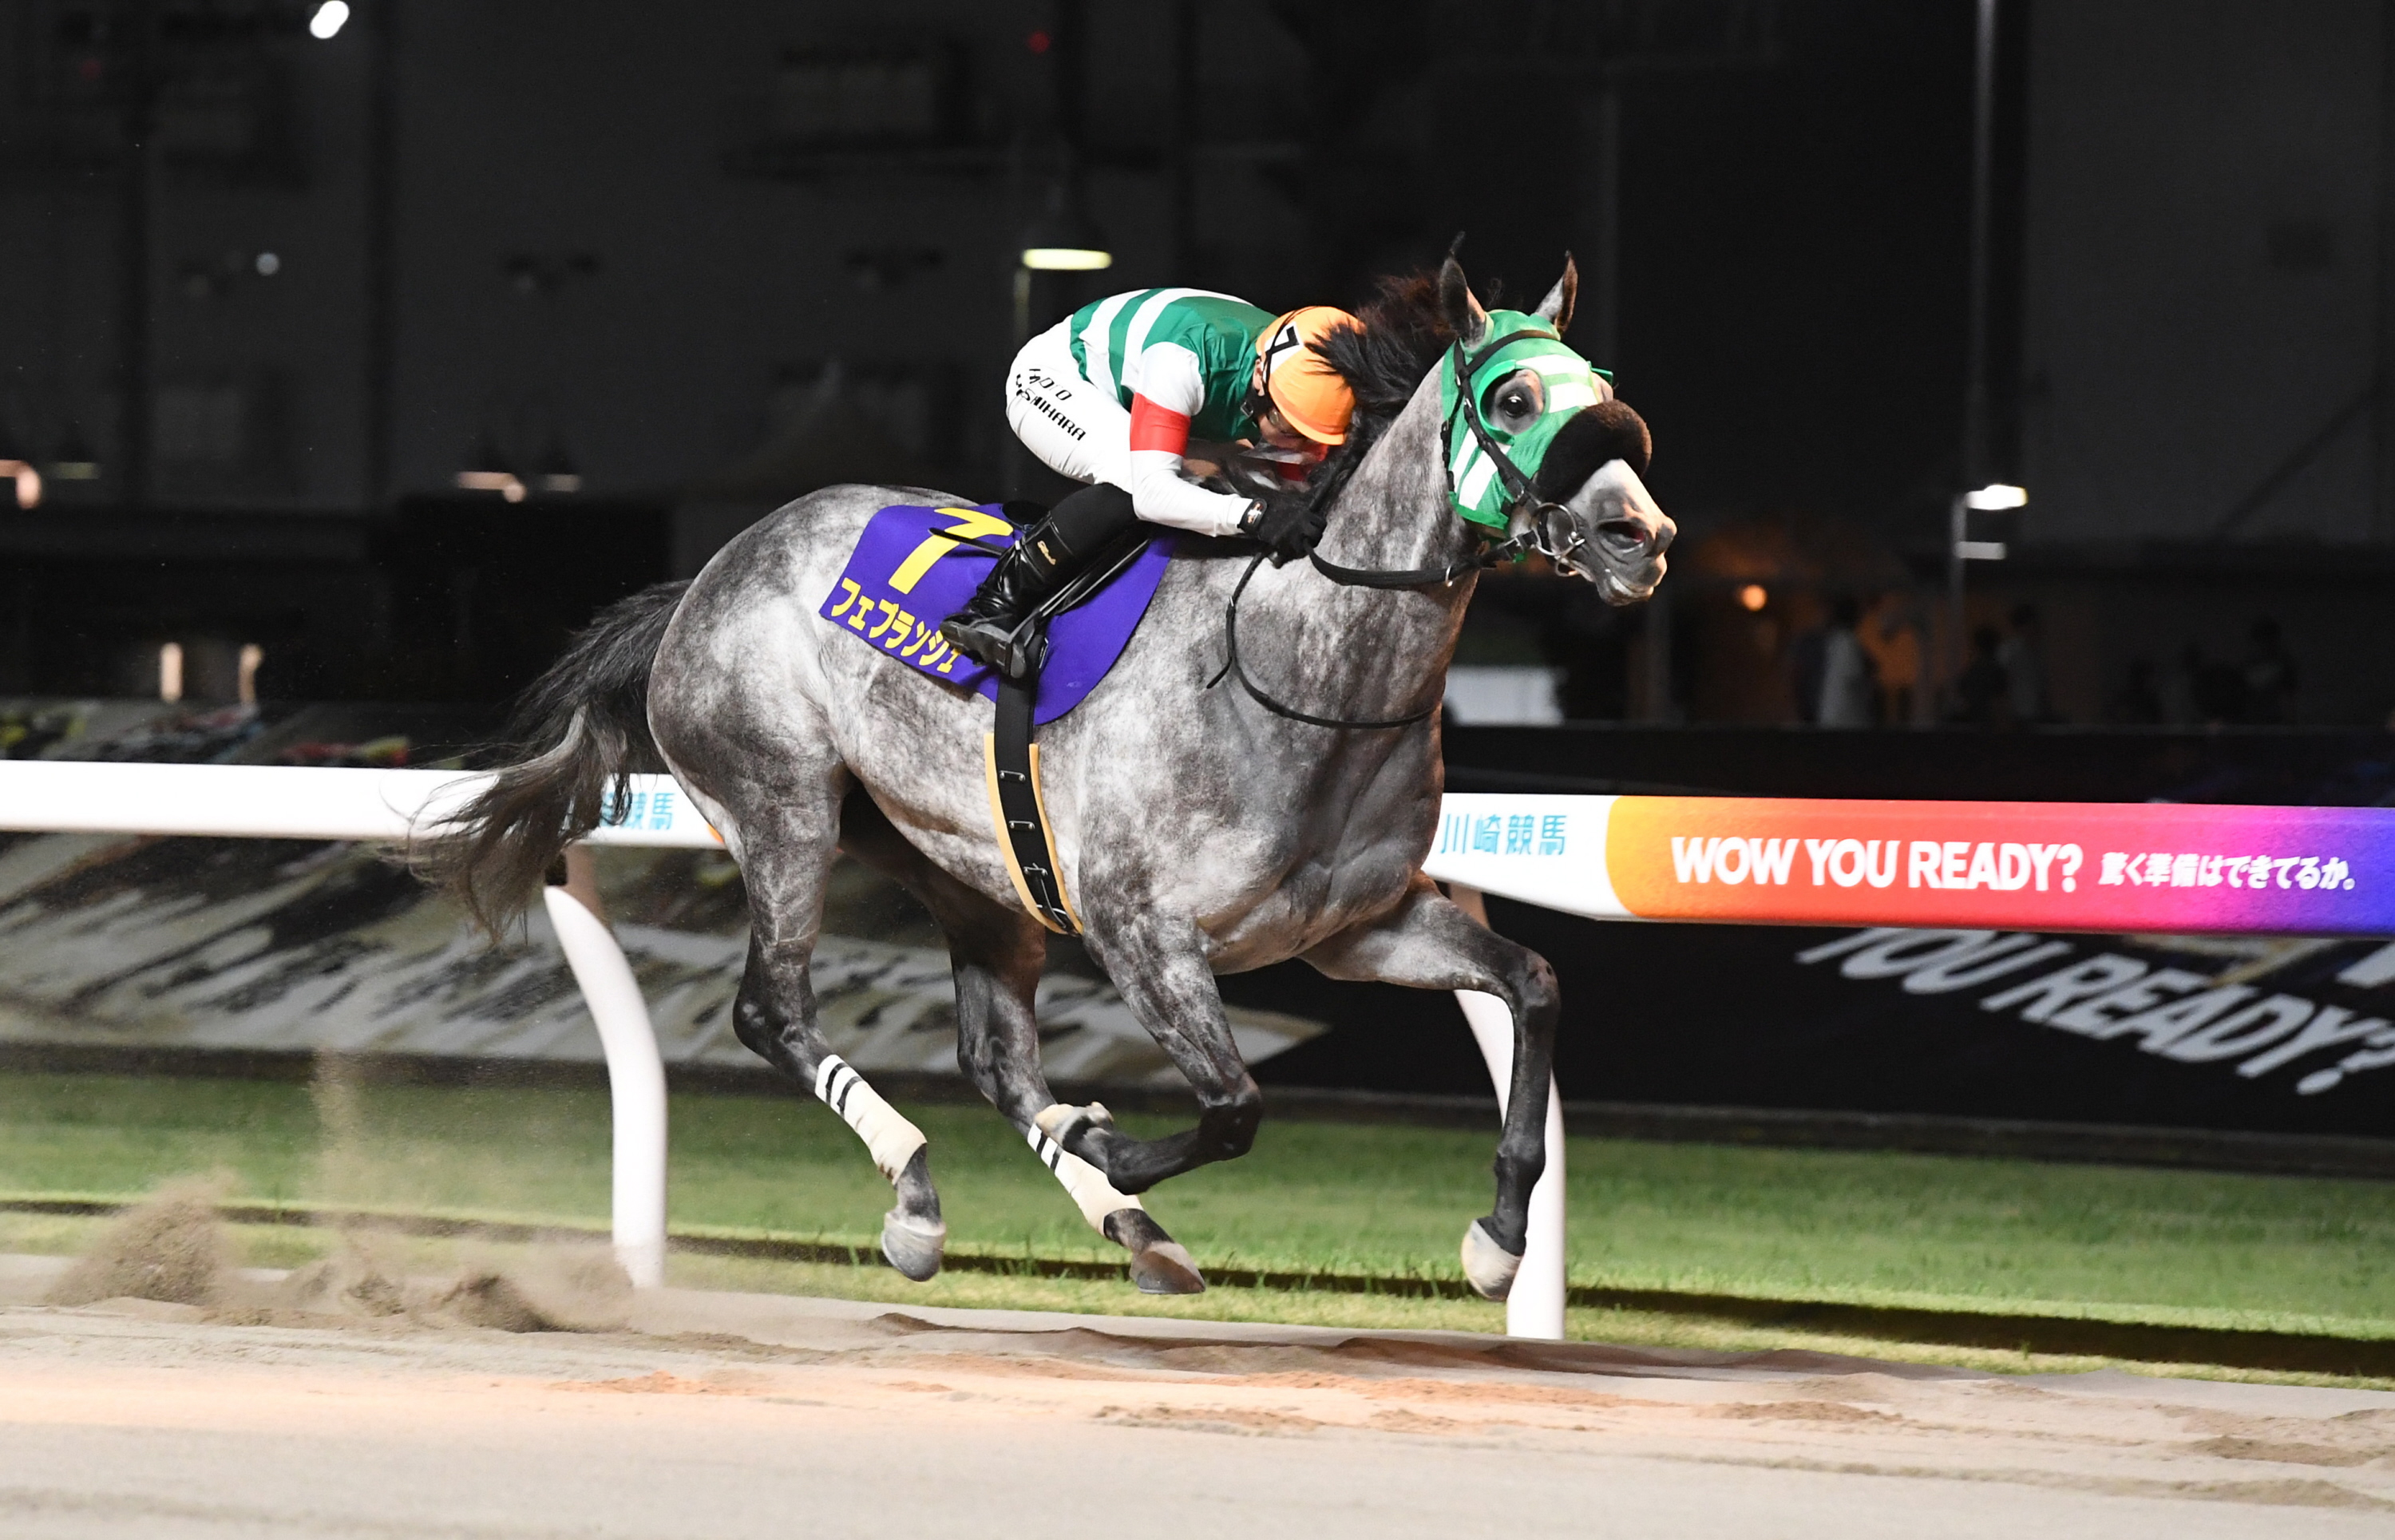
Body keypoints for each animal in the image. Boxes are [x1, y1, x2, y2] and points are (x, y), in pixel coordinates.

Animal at [423, 252, 1674, 1300]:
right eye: (1513, 402)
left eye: (1603, 389)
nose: (1642, 536)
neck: (1295, 667)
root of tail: (709, 576)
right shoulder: (1142, 931)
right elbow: (1235, 1107)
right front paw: (1108, 1136)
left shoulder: (1356, 926)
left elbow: (1533, 986)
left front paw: (1498, 1239)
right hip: (782, 805)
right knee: (772, 1009)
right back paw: (931, 1187)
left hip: (973, 871)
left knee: (996, 1059)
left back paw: (1115, 1225)